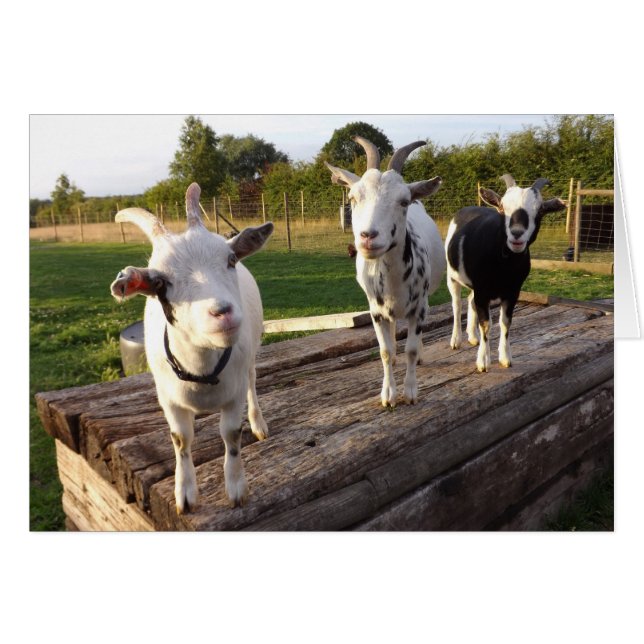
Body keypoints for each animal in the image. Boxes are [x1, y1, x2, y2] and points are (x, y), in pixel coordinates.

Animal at [110, 183, 273, 512]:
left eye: (230, 260)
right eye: (160, 283)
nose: (222, 313)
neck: (202, 371)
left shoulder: (234, 392)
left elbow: (231, 434)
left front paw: (236, 489)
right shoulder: (168, 399)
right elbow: (181, 439)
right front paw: (184, 494)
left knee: (252, 381)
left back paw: (258, 423)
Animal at [326, 136, 446, 407]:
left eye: (403, 201)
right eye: (353, 198)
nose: (368, 236)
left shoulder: (418, 308)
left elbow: (411, 348)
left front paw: (410, 392)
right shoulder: (375, 310)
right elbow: (385, 351)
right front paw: (388, 395)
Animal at [445, 174, 566, 372]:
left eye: (540, 210)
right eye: (502, 207)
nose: (516, 234)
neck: (503, 265)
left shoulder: (512, 291)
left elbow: (505, 323)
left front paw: (505, 358)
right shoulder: (482, 290)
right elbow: (486, 324)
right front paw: (483, 362)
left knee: (470, 301)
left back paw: (472, 337)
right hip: (452, 276)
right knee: (456, 305)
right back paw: (456, 340)